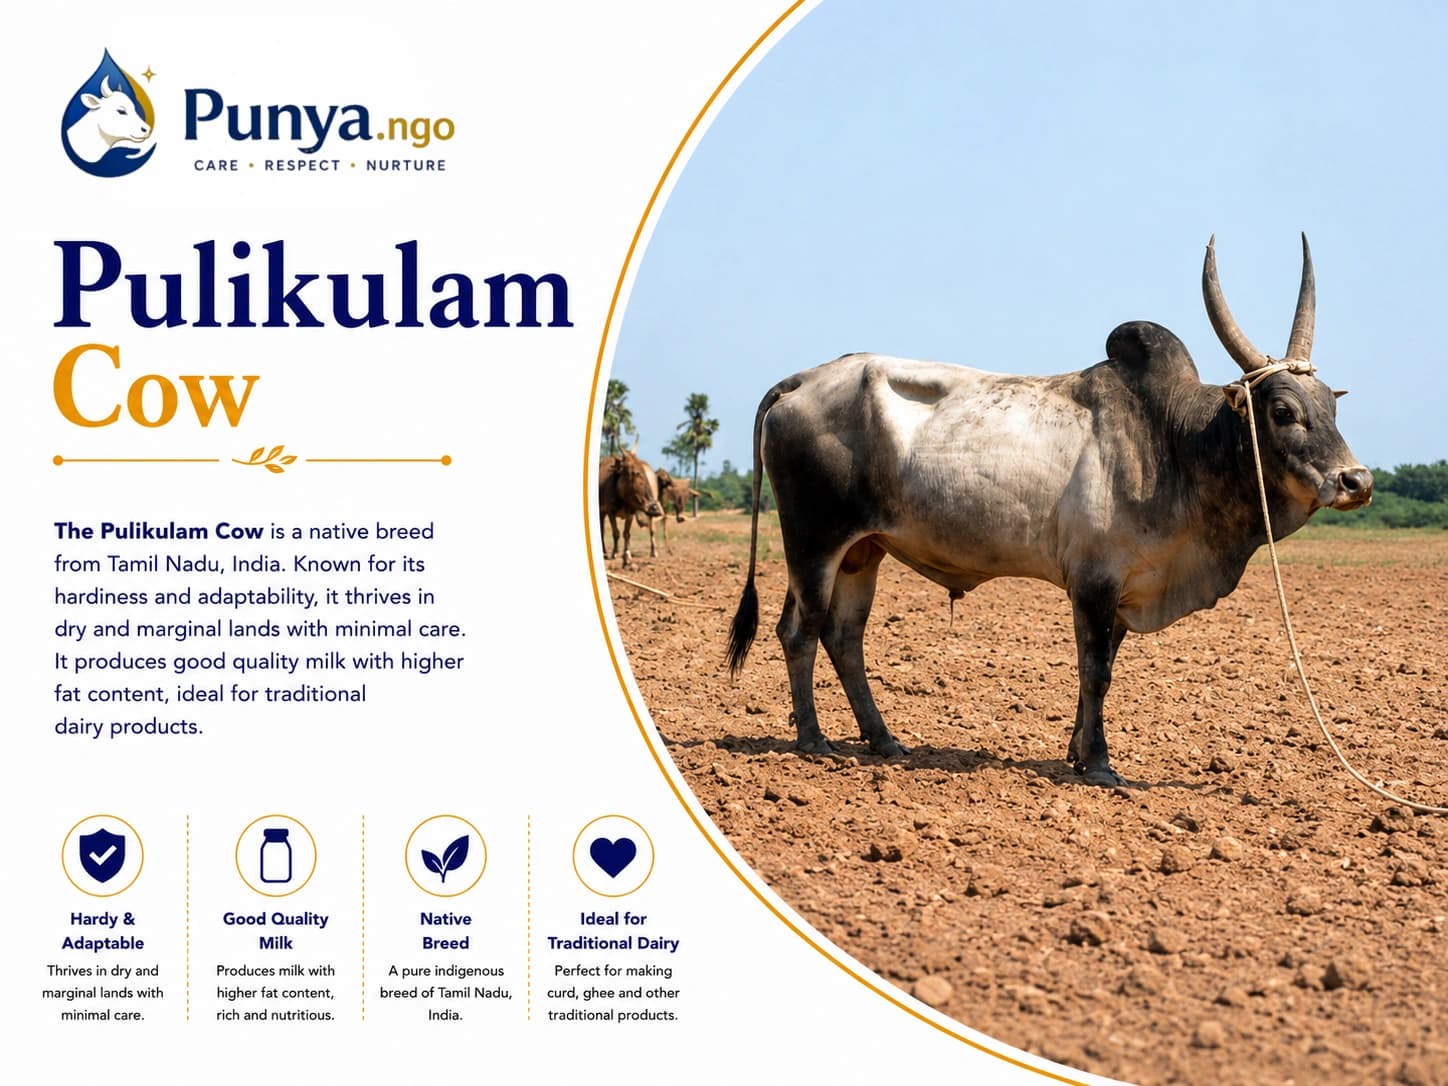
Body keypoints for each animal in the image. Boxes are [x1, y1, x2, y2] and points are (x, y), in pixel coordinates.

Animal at [726, 236, 1372, 786]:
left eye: (1331, 407)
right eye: (1283, 411)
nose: (1356, 480)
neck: (1173, 443)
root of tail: (801, 380)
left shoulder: (1124, 589)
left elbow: (1100, 672)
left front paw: (1077, 753)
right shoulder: (1093, 581)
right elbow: (1096, 671)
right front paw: (1102, 767)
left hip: (863, 551)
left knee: (844, 637)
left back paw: (882, 740)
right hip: (813, 542)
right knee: (800, 632)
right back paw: (814, 741)